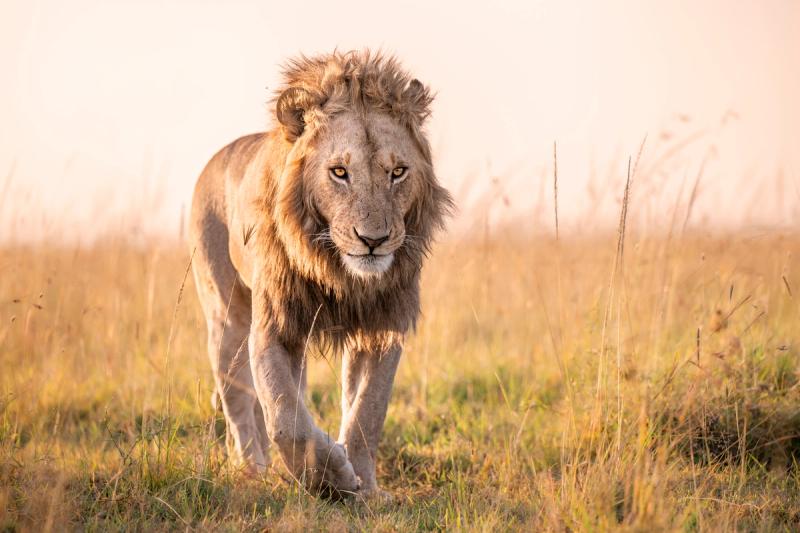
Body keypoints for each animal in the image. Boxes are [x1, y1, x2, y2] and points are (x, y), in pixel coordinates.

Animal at [189, 50, 453, 498]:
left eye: (397, 172)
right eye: (340, 172)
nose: (373, 240)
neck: (342, 275)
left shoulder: (381, 326)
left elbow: (366, 411)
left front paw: (365, 486)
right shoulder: (273, 325)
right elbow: (285, 419)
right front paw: (331, 479)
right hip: (226, 315)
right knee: (237, 398)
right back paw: (252, 469)